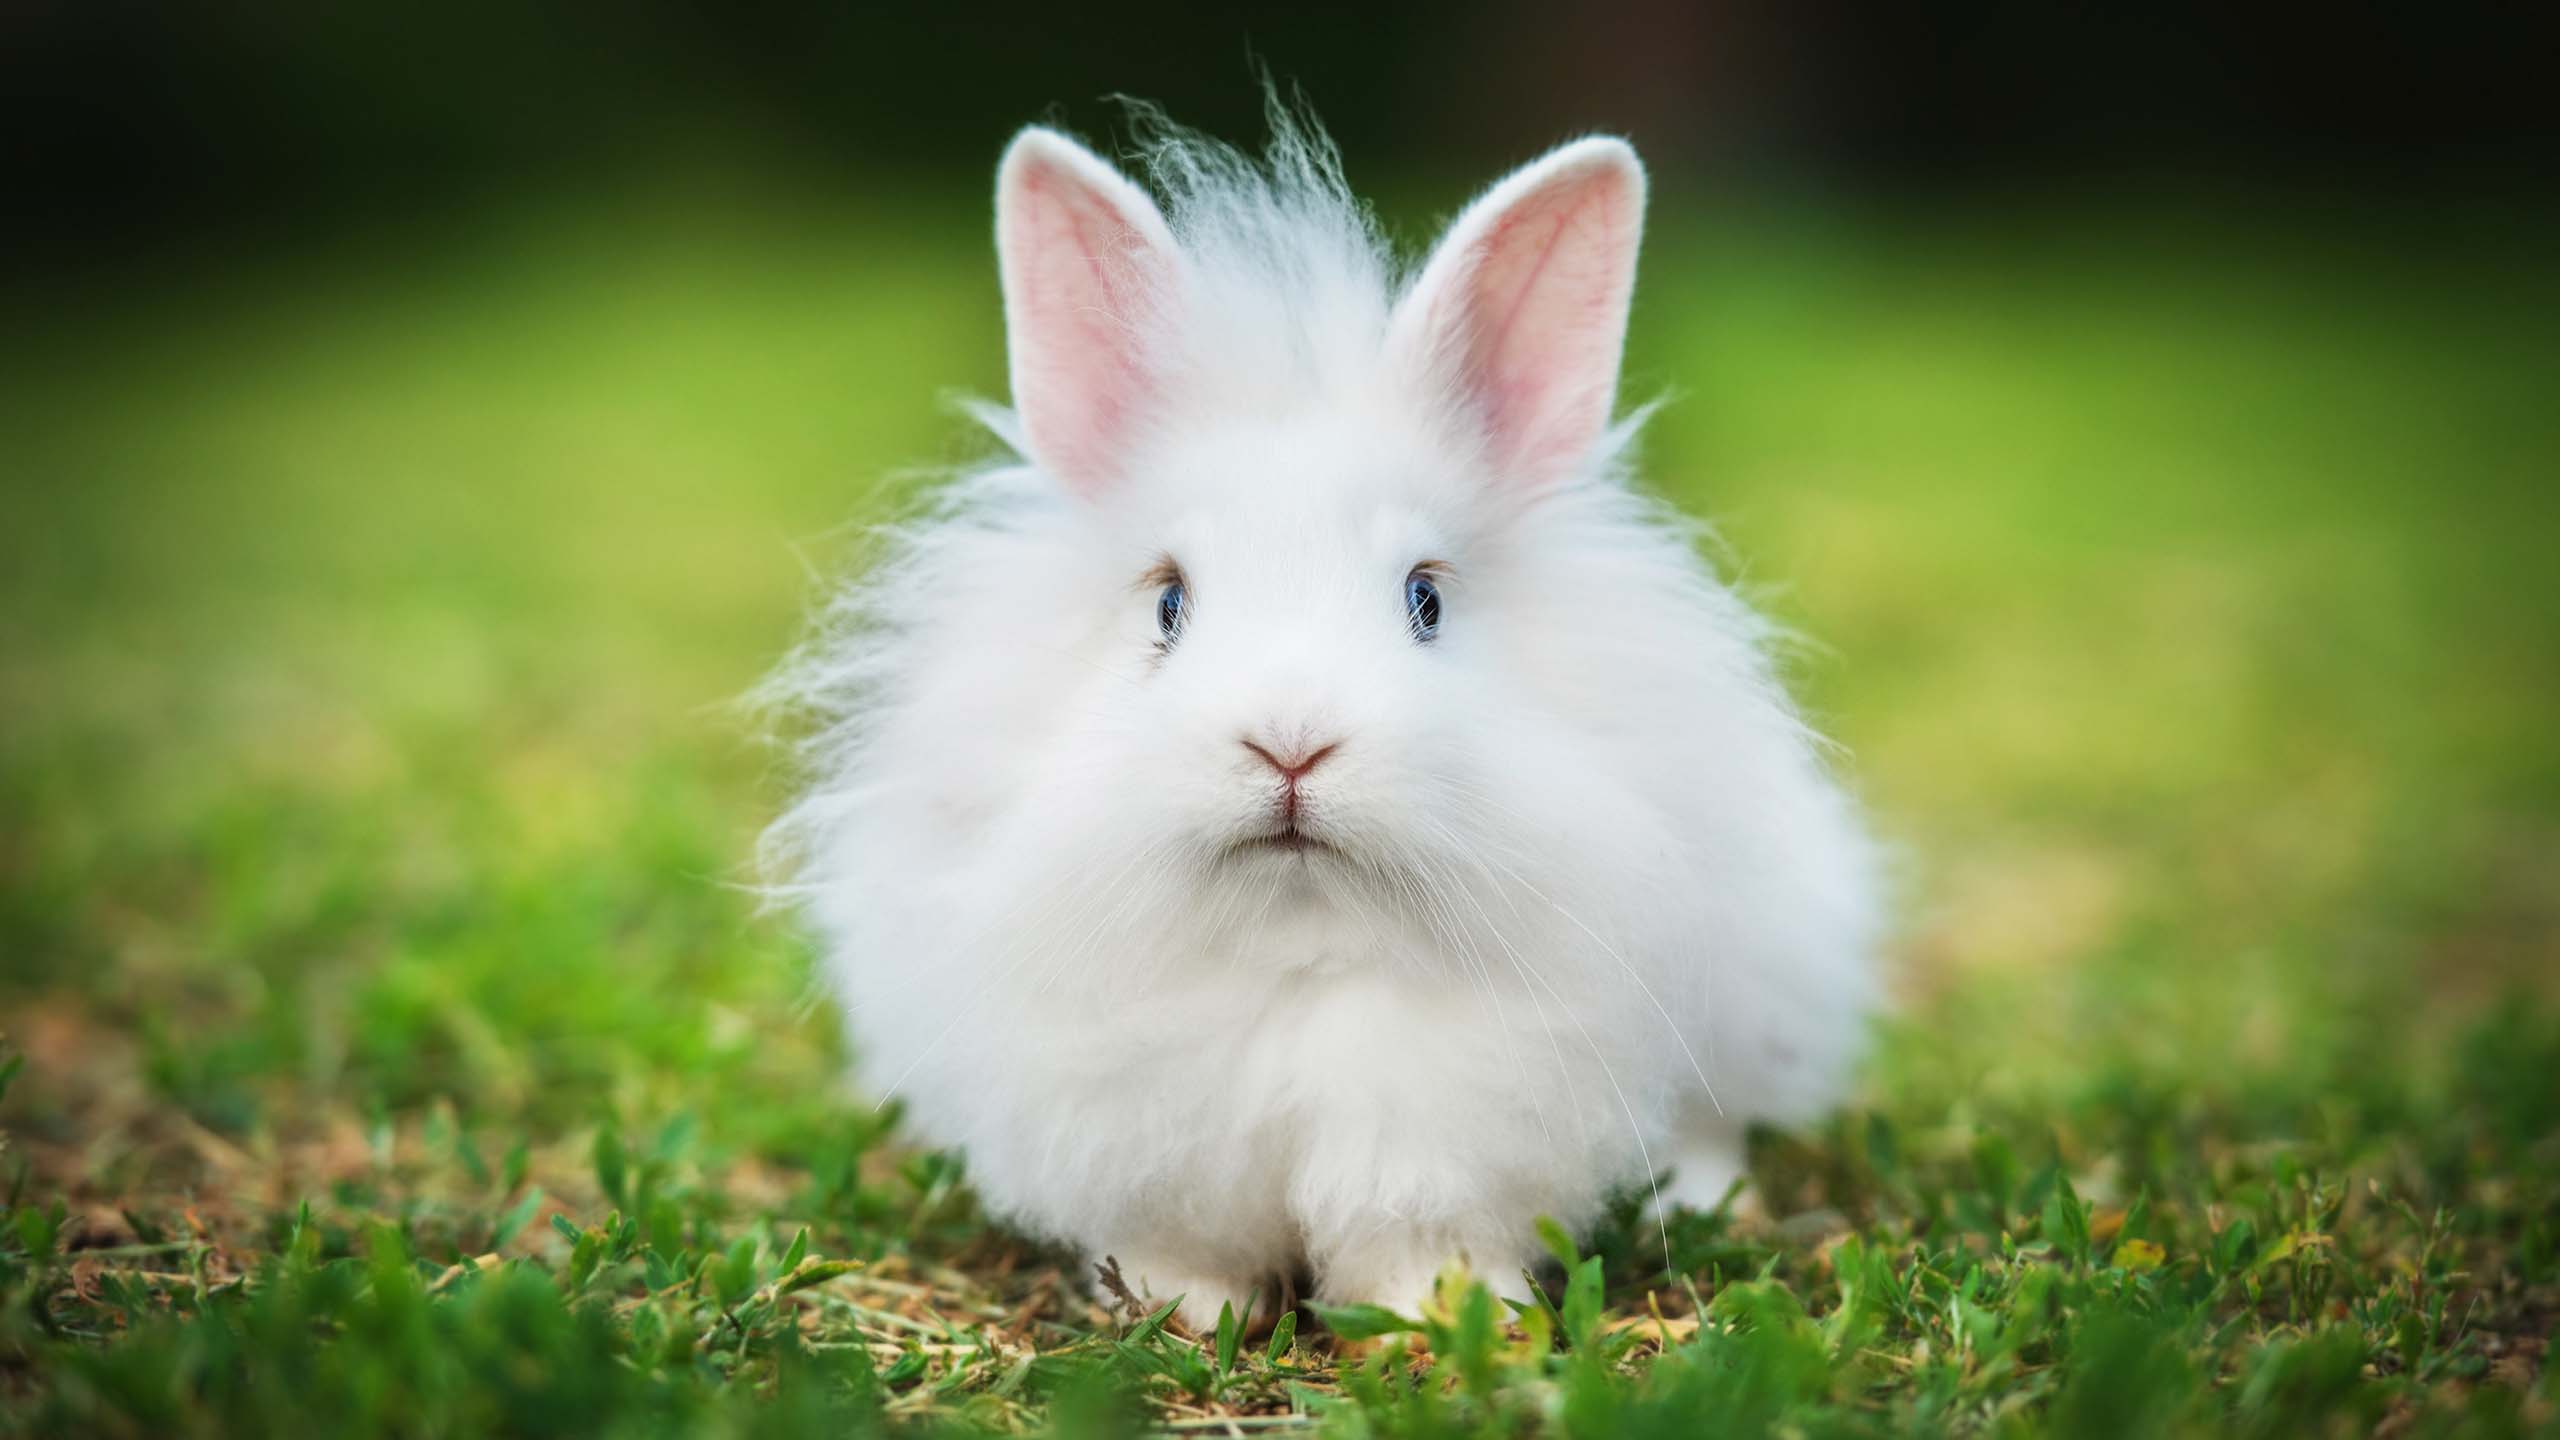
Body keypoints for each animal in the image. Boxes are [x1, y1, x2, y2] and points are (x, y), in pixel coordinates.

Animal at [765, 104, 1882, 1331]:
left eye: (1425, 600)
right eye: (1168, 603)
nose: (1290, 743)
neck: (1296, 939)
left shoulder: (1449, 1136)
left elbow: (1421, 1239)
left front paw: (1446, 1318)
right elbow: (1173, 1246)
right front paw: (1183, 1314)